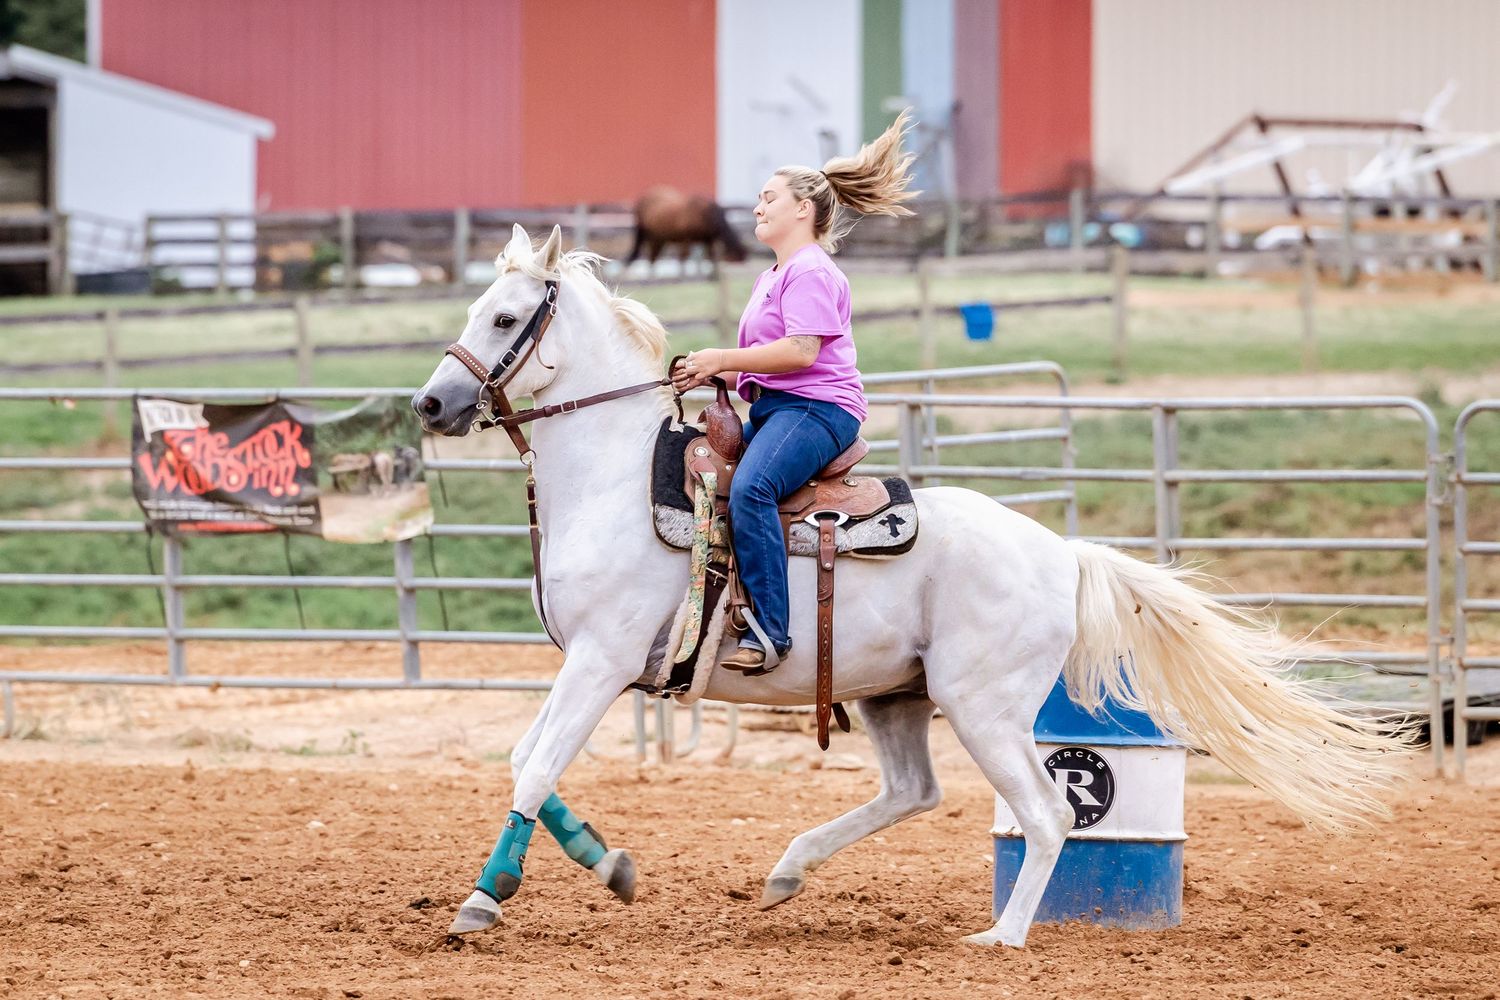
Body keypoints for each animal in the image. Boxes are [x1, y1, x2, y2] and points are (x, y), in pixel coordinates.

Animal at [410, 223, 1413, 948]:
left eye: (504, 319)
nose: (431, 404)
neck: (617, 482)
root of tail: (1062, 552)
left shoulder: (604, 659)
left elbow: (535, 766)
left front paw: (484, 900)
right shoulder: (586, 665)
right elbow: (527, 762)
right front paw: (610, 865)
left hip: (985, 704)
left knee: (1046, 812)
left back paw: (1002, 938)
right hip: (897, 693)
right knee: (914, 793)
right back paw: (787, 872)